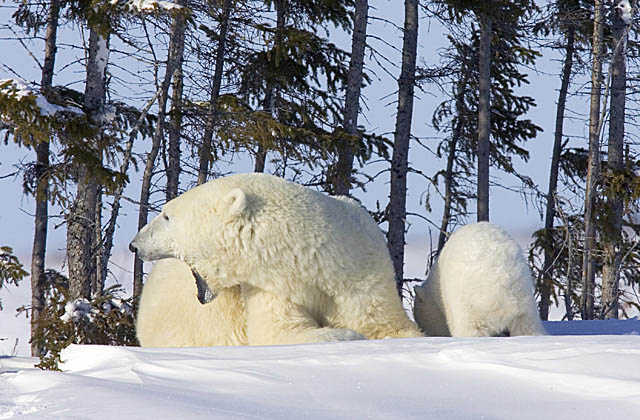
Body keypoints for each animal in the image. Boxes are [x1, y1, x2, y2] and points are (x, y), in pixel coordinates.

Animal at [129, 172, 420, 346]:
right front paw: (348, 334)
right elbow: (279, 332)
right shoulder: (273, 287)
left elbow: (387, 325)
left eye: (166, 215)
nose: (134, 244)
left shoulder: (364, 273)